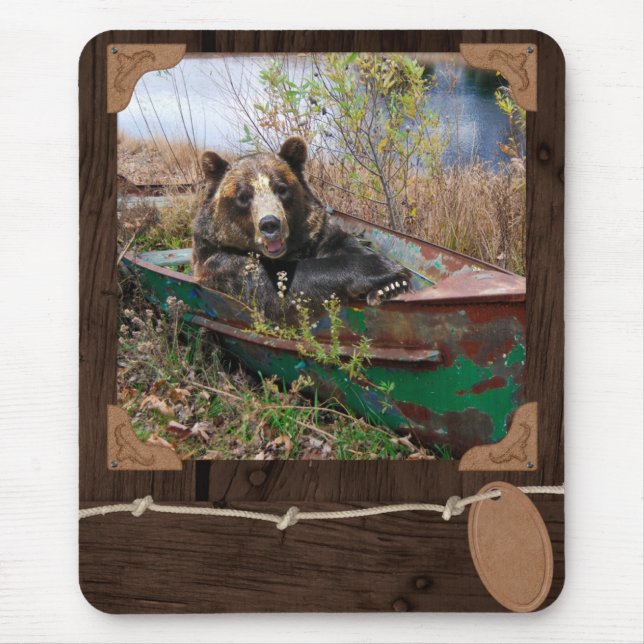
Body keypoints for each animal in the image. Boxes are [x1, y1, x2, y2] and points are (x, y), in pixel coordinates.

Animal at [192, 136, 411, 321]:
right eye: (243, 196)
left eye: (281, 188)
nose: (270, 224)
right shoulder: (222, 263)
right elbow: (278, 288)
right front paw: (380, 269)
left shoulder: (317, 233)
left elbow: (346, 244)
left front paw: (390, 285)